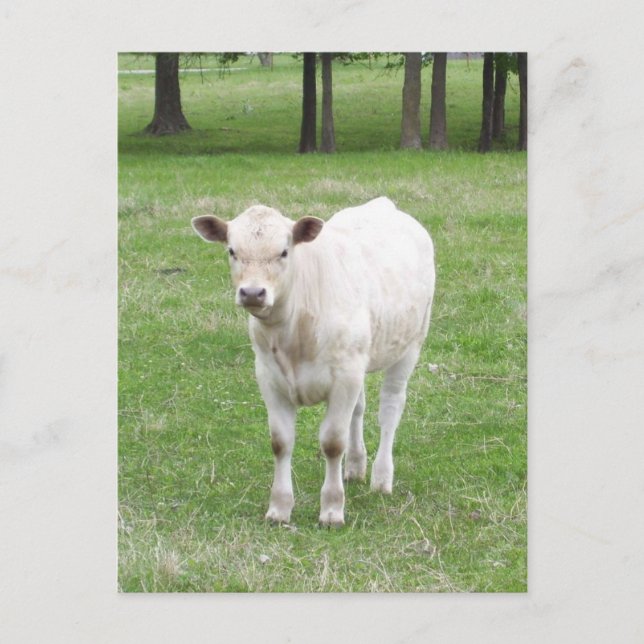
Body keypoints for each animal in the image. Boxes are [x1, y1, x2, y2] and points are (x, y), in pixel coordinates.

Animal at [192, 197, 435, 526]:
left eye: (284, 251)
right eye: (232, 250)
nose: (253, 292)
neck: (293, 334)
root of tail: (383, 204)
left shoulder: (344, 378)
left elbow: (332, 442)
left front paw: (332, 510)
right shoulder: (270, 378)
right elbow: (281, 442)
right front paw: (279, 508)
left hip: (410, 344)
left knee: (390, 409)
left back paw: (381, 478)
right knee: (359, 410)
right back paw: (355, 467)